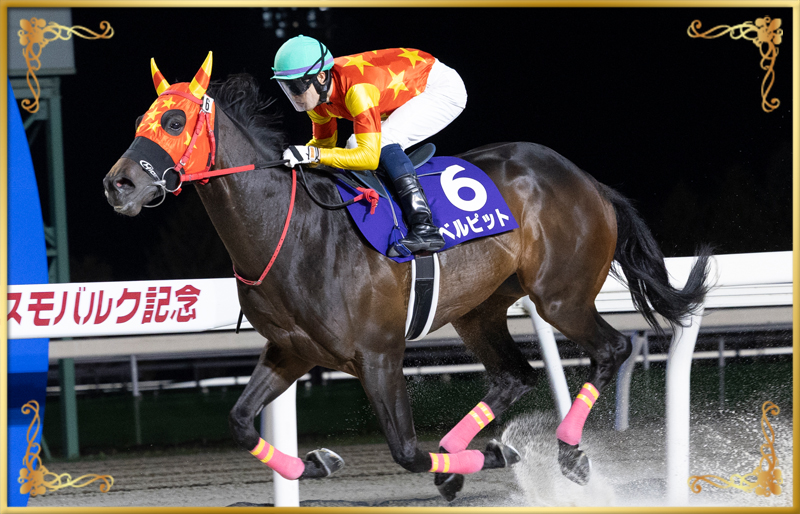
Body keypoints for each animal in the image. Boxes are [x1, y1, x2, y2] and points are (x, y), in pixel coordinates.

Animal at [103, 54, 711, 501]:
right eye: (138, 123)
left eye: (175, 120)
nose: (118, 184)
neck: (295, 231)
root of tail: (587, 181)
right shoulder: (291, 351)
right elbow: (239, 421)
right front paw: (318, 463)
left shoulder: (378, 354)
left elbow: (406, 450)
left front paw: (492, 454)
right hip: (480, 309)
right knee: (513, 374)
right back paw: (468, 459)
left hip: (560, 296)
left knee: (612, 348)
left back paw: (563, 451)